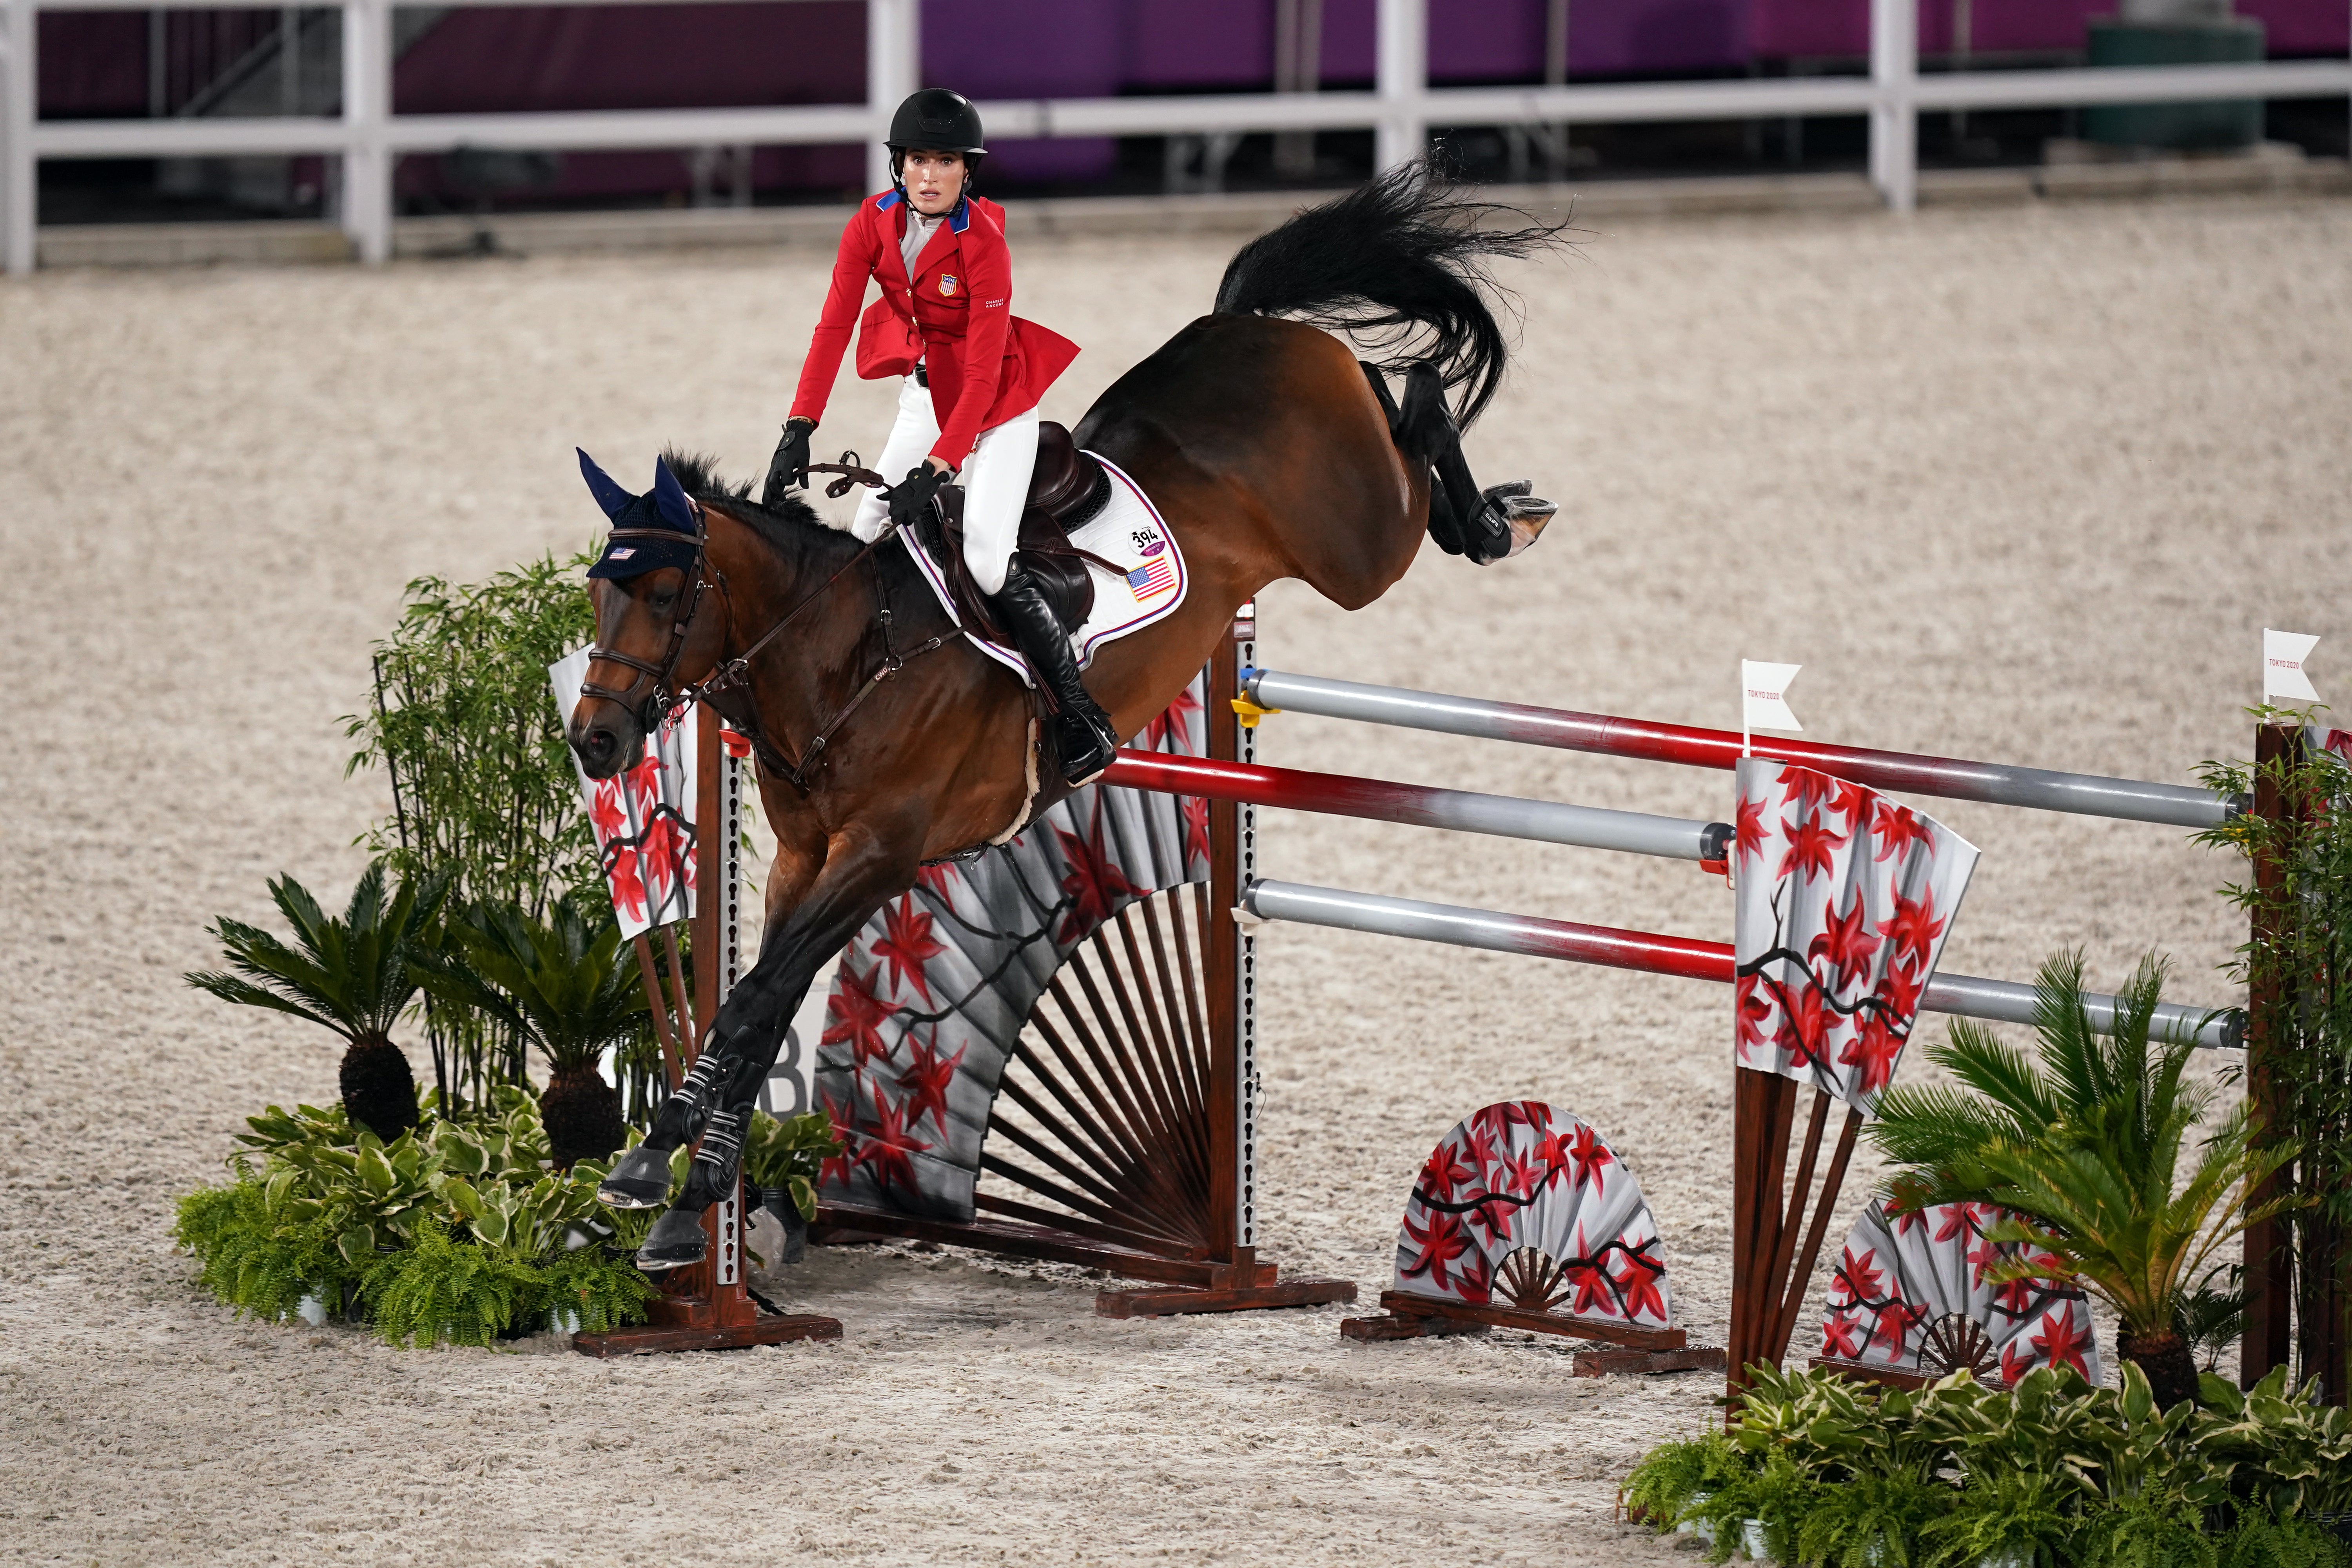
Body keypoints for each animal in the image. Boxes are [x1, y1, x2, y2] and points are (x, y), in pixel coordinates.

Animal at [560, 162, 1571, 1260]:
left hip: (1358, 546)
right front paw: (670, 1179)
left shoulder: (880, 856)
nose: (596, 741)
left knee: (1418, 410)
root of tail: (1248, 328)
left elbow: (754, 1003)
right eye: (596, 592)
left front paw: (671, 1181)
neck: (847, 662)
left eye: (667, 595)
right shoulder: (805, 857)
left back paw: (1501, 515)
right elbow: (749, 1008)